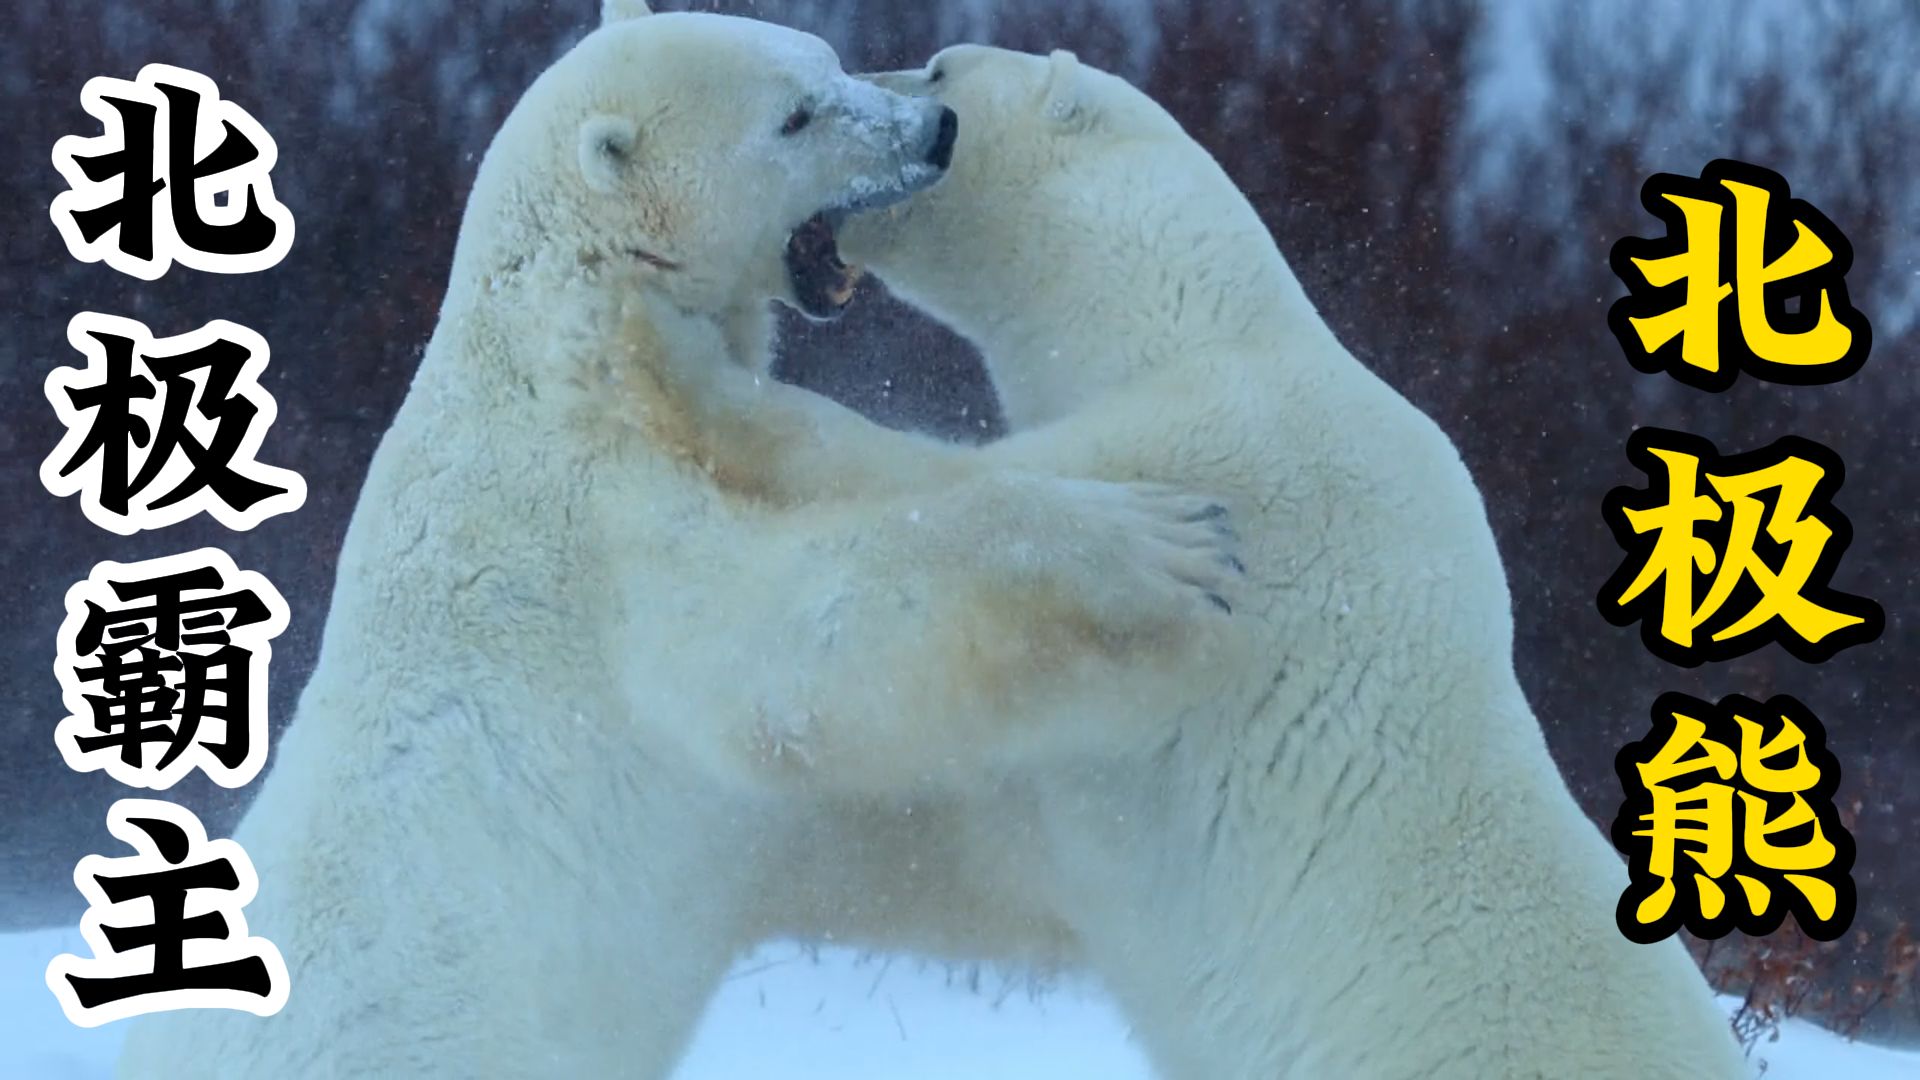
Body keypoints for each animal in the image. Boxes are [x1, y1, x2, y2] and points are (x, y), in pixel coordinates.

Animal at [112, 10, 1244, 1076]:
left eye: (825, 59)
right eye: (794, 116)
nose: (936, 130)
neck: (575, 341)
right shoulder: (593, 537)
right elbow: (791, 650)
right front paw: (1167, 547)